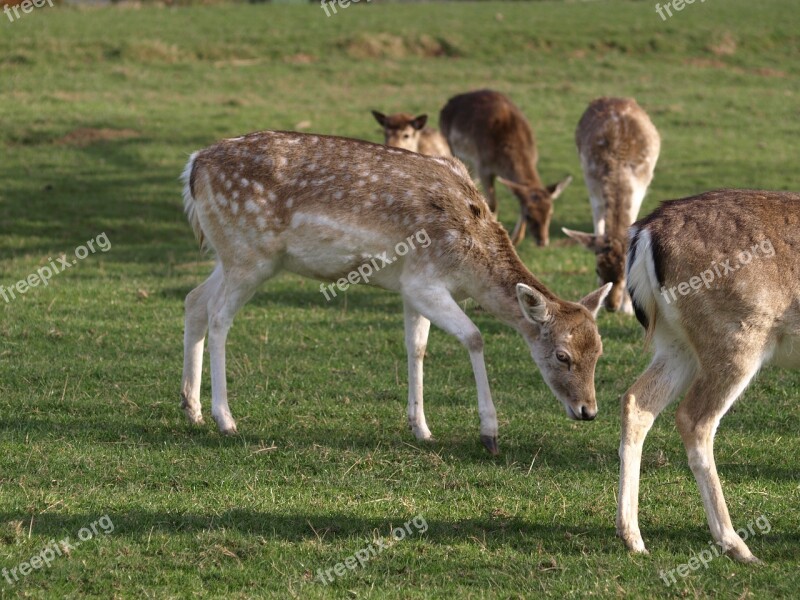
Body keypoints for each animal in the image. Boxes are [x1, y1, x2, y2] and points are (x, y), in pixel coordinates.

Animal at [178, 127, 608, 454]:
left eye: (599, 351)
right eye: (562, 356)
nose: (588, 410)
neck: (470, 264)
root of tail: (193, 165)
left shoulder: (410, 287)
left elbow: (416, 347)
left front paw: (421, 427)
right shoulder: (424, 280)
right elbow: (474, 337)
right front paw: (489, 433)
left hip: (232, 256)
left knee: (194, 300)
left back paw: (191, 408)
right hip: (249, 255)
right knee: (218, 316)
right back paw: (224, 418)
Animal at [434, 88, 572, 246]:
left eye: (550, 213)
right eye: (529, 215)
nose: (542, 241)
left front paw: (515, 239)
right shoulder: (483, 166)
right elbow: (492, 204)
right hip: (451, 145)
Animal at [560, 98, 660, 314]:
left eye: (625, 273)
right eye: (597, 269)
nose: (611, 306)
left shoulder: (640, 189)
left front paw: (628, 307)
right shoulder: (593, 186)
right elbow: (598, 226)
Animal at [620, 190, 800, 564]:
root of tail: (645, 230)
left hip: (675, 342)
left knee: (636, 401)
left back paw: (632, 537)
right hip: (737, 337)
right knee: (694, 418)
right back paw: (736, 545)